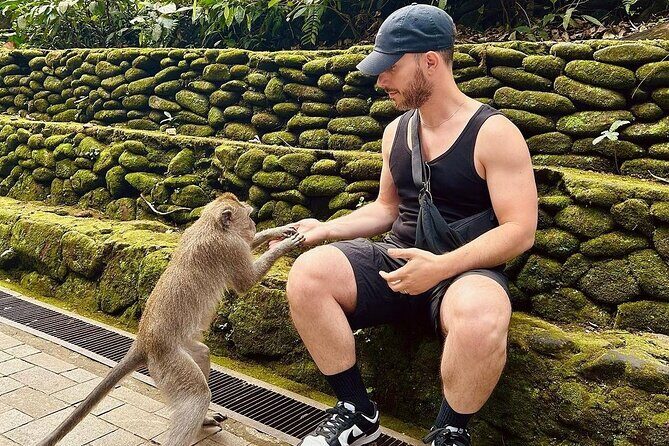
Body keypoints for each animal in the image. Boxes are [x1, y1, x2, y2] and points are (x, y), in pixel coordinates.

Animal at [38, 192, 304, 446]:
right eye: (248, 216)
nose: (253, 224)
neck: (210, 225)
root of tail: (143, 341)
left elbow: (250, 244)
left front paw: (281, 230)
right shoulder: (229, 248)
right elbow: (246, 282)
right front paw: (284, 245)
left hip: (181, 348)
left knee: (202, 355)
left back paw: (204, 417)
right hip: (168, 362)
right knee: (197, 395)